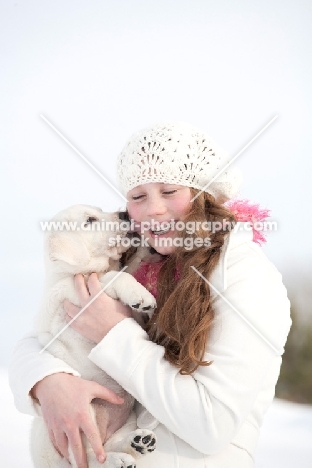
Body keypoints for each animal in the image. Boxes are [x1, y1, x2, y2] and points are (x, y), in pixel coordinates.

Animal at [32, 205, 156, 468]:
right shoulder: (71, 294)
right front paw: (140, 295)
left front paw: (143, 249)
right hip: (78, 410)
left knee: (108, 446)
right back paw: (118, 460)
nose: (125, 214)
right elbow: (114, 277)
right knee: (89, 457)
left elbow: (126, 268)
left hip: (125, 417)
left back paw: (138, 443)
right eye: (90, 220)